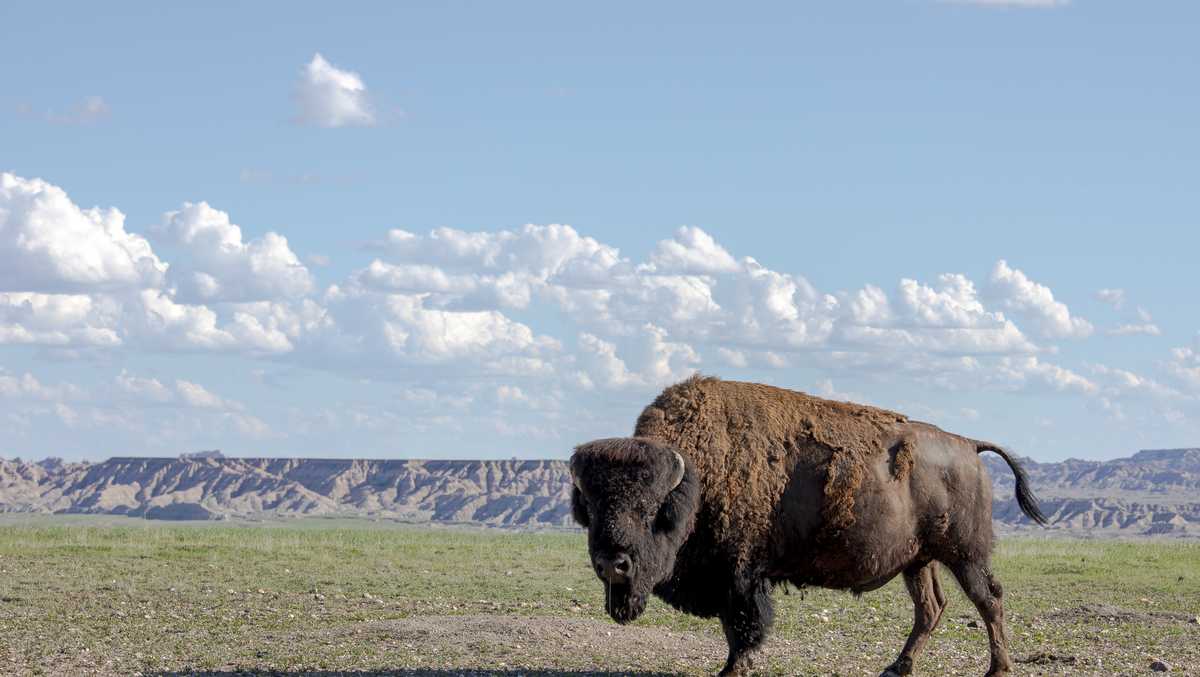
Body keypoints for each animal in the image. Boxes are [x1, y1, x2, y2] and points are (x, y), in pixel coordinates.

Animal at [569, 376, 1046, 676]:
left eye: (650, 511)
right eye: (589, 508)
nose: (613, 565)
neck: (696, 477)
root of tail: (968, 445)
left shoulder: (740, 576)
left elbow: (744, 627)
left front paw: (733, 669)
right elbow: (736, 627)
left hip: (965, 555)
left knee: (989, 600)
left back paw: (997, 669)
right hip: (919, 561)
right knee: (931, 608)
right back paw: (897, 668)